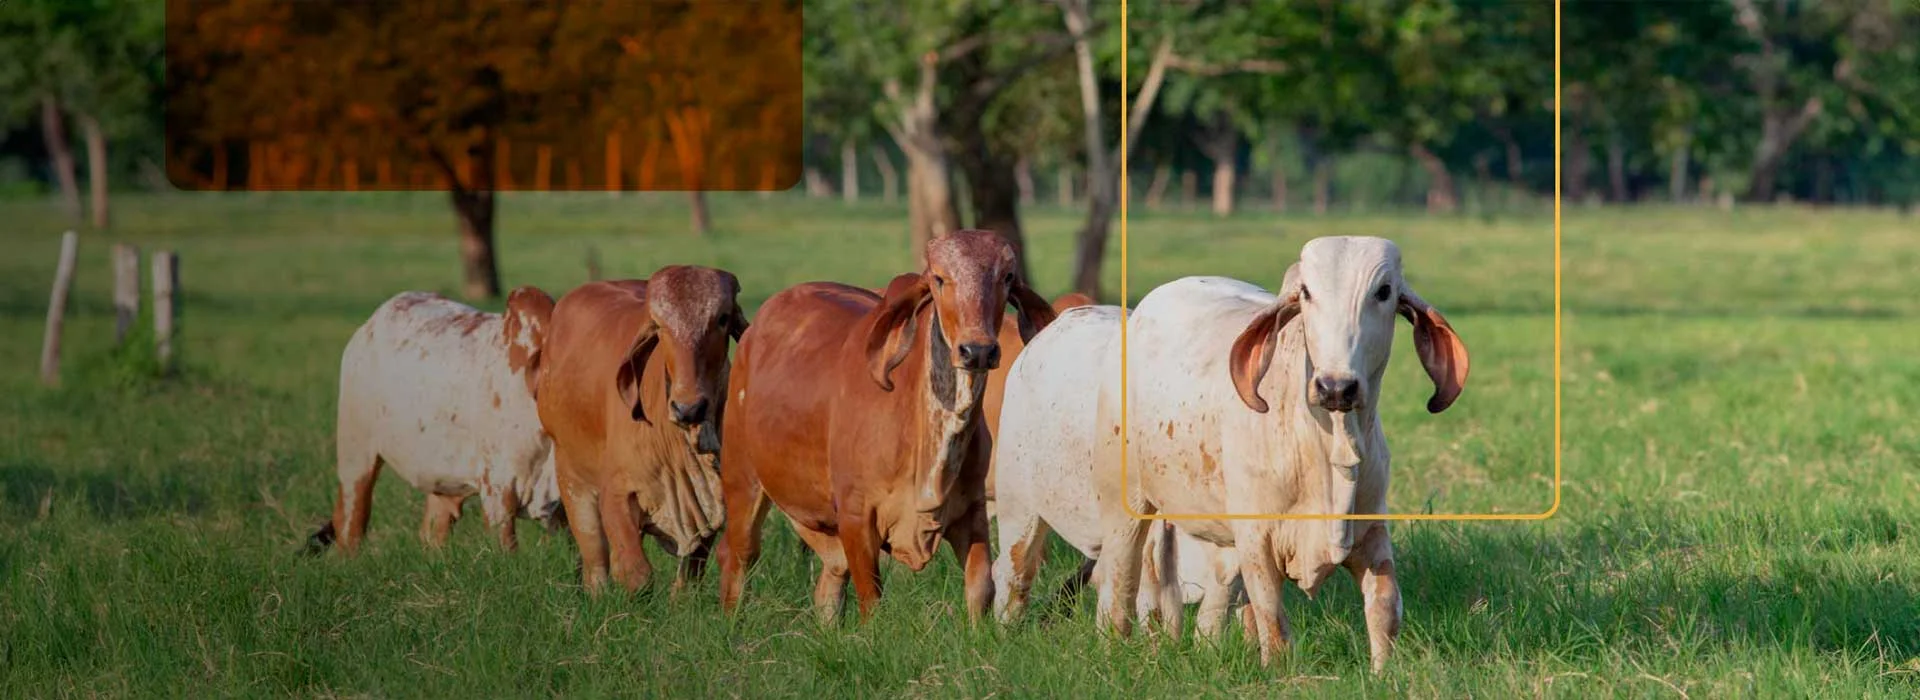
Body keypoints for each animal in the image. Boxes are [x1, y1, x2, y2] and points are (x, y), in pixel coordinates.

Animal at [721, 229, 1059, 621]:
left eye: (1006, 277)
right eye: (939, 278)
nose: (977, 350)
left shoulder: (971, 511)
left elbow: (981, 589)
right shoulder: (856, 517)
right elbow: (872, 601)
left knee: (830, 579)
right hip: (742, 480)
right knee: (737, 557)